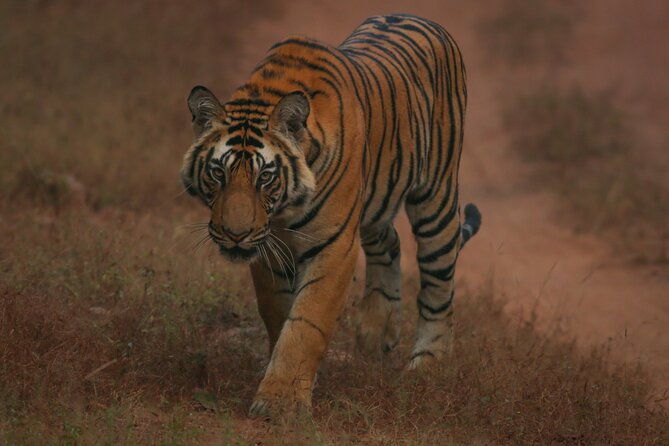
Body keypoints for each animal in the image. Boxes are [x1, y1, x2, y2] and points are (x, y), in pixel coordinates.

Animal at [180, 13, 481, 416]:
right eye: (218, 173)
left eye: (265, 177)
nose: (235, 234)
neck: (283, 211)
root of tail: (420, 17)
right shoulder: (270, 249)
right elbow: (278, 313)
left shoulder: (334, 246)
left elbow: (307, 322)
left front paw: (280, 402)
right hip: (375, 201)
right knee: (389, 241)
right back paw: (376, 330)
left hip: (436, 197)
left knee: (439, 282)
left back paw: (428, 365)